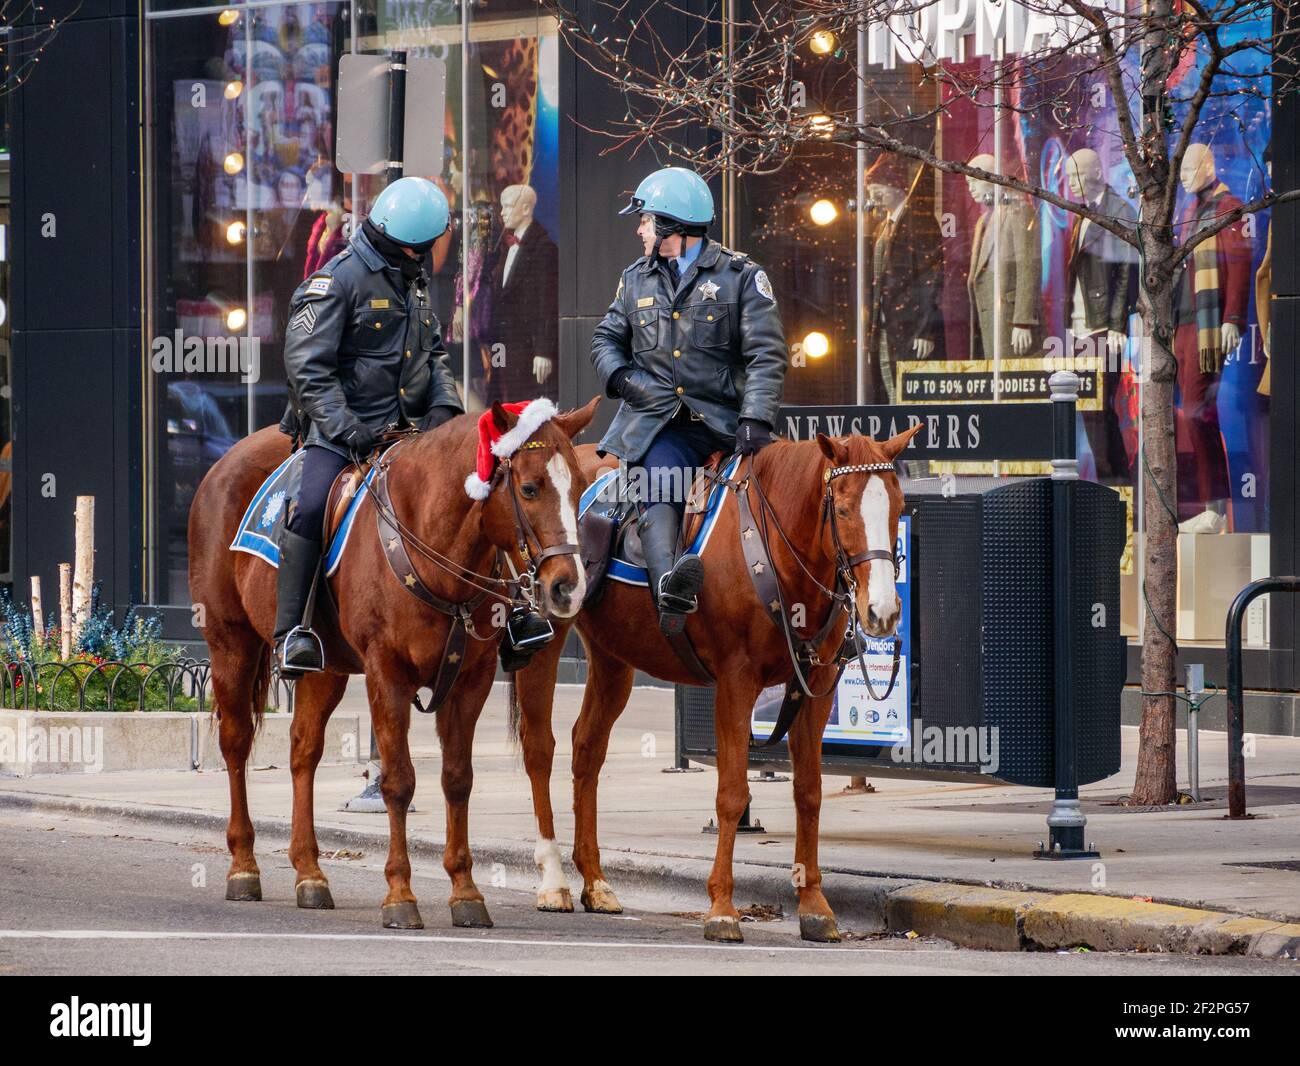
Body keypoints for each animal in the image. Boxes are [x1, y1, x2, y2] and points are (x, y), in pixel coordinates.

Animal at [185, 395, 595, 930]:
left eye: (581, 487)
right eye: (529, 488)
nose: (569, 587)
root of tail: (223, 463)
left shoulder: (472, 679)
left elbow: (457, 780)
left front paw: (465, 892)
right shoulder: (387, 674)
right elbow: (397, 781)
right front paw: (400, 894)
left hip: (326, 669)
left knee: (303, 751)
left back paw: (309, 873)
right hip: (230, 643)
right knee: (235, 744)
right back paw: (244, 865)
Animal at [509, 423, 925, 941]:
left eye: (896, 506)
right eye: (844, 509)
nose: (882, 611)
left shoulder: (815, 685)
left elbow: (808, 792)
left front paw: (814, 906)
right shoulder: (736, 683)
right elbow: (731, 794)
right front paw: (723, 908)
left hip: (612, 657)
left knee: (586, 748)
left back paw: (596, 883)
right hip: (546, 638)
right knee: (539, 749)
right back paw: (554, 882)